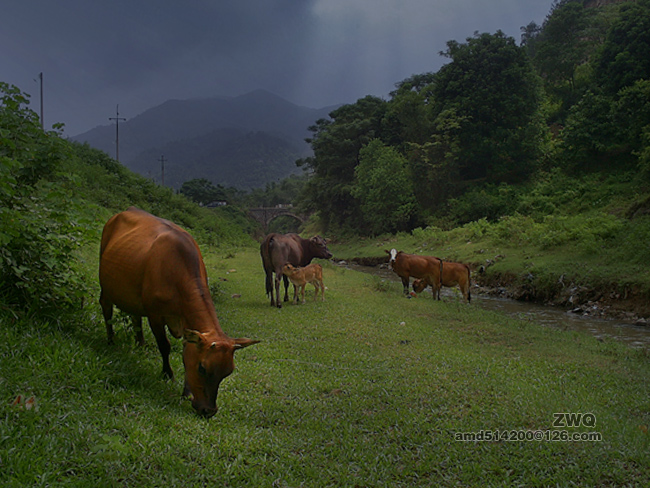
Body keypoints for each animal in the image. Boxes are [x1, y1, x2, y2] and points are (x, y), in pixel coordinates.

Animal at [97, 208, 256, 418]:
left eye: (227, 372)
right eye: (202, 368)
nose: (209, 410)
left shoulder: (188, 324)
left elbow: (185, 352)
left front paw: (186, 391)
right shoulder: (155, 315)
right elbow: (164, 346)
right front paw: (167, 375)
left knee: (135, 317)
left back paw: (140, 344)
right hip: (106, 284)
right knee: (106, 310)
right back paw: (111, 341)